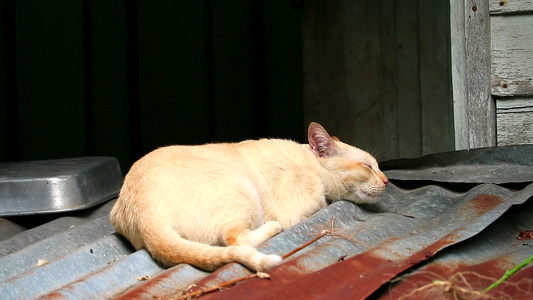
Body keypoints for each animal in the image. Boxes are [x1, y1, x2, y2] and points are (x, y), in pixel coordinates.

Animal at [111, 121, 386, 272]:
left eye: (378, 167)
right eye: (367, 167)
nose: (386, 181)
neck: (310, 163)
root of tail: (145, 212)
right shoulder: (307, 205)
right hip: (243, 190)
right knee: (237, 240)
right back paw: (273, 228)